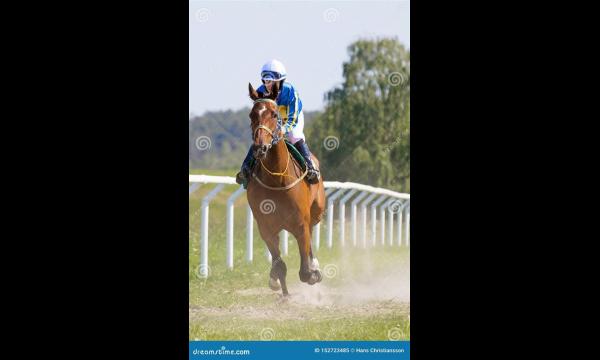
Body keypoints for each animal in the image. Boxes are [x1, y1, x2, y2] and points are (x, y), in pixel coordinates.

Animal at [246, 82, 326, 298]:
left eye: (274, 114)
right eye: (251, 115)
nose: (260, 147)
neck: (276, 179)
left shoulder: (300, 224)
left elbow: (305, 271)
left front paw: (313, 272)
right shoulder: (265, 227)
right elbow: (279, 265)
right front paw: (282, 291)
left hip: (316, 212)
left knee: (311, 236)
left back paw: (315, 266)